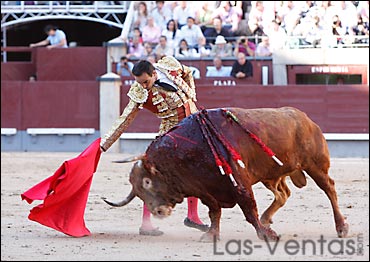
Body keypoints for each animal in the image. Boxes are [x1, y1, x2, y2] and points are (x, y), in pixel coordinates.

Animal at [104, 106, 350, 242]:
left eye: (147, 181)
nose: (158, 211)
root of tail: (306, 119)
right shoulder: (206, 191)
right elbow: (214, 213)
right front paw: (211, 235)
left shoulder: (239, 183)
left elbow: (249, 210)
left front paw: (267, 235)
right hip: (272, 174)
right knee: (283, 194)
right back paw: (267, 218)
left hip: (315, 165)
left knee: (329, 189)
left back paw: (341, 227)